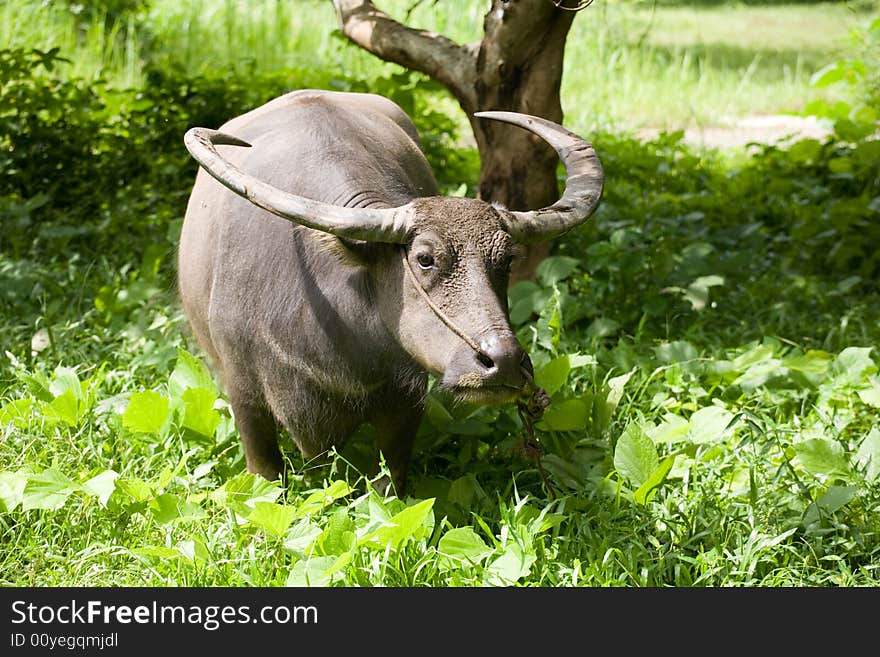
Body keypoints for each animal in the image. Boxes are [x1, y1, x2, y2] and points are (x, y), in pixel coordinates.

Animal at [180, 89, 604, 494]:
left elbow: (388, 481)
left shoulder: (405, 398)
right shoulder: (244, 392)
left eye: (507, 259)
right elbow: (265, 473)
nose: (505, 362)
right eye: (425, 259)